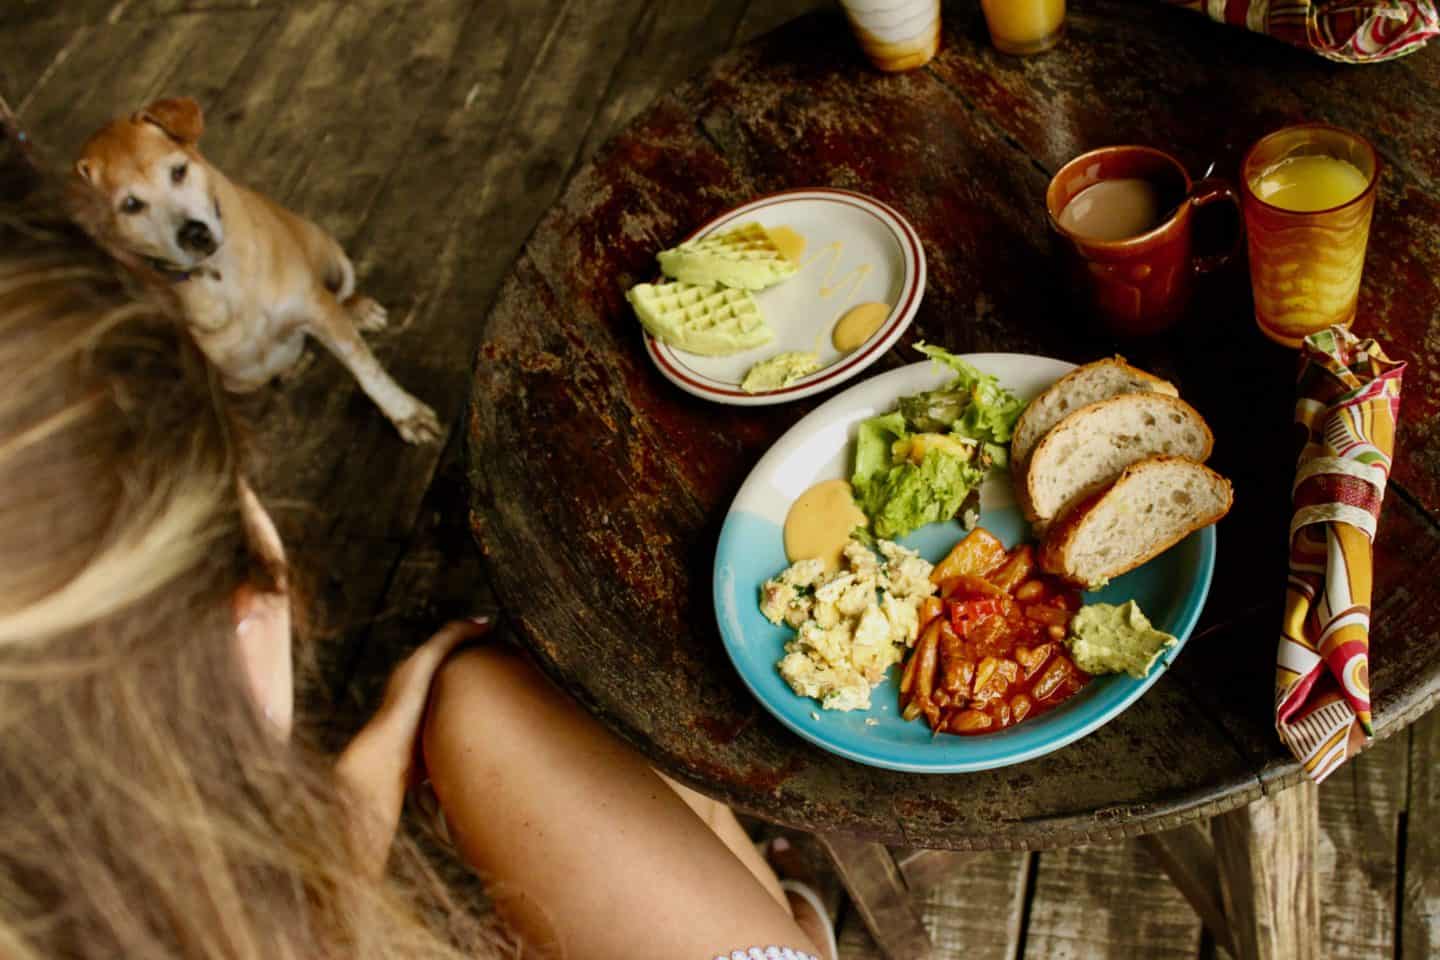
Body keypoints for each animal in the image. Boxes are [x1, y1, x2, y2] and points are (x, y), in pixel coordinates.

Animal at [71, 96, 437, 443]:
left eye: (178, 172)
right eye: (131, 205)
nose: (195, 234)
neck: (219, 275)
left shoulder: (316, 309)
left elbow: (367, 370)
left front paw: (406, 415)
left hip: (328, 251)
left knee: (342, 292)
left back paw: (358, 310)